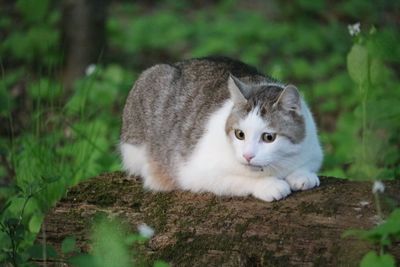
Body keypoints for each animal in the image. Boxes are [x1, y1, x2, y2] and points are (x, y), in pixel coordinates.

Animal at [120, 57, 324, 203]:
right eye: (240, 134)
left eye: (269, 137)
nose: (247, 156)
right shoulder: (196, 172)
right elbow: (239, 179)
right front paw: (268, 185)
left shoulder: (313, 150)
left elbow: (307, 164)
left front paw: (302, 175)